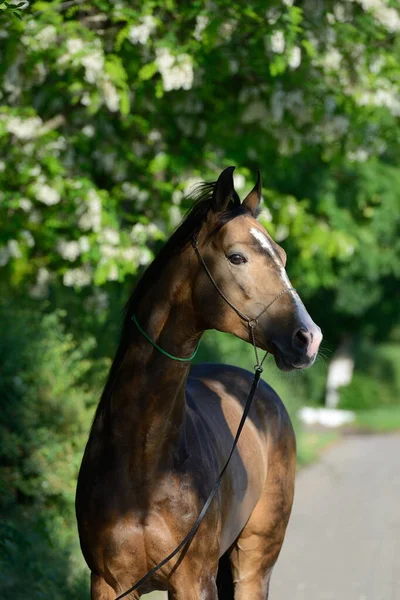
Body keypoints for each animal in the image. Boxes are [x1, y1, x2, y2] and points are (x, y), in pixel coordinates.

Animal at [75, 165, 322, 600]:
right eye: (237, 256)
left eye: (282, 256)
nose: (309, 338)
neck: (144, 460)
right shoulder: (108, 584)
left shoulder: (195, 581)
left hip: (255, 562)